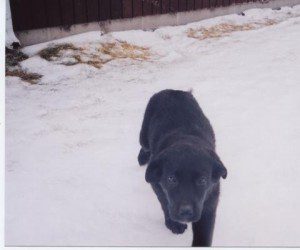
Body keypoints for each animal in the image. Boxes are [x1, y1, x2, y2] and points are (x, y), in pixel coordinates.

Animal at [137, 89, 226, 246]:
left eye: (202, 180)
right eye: (171, 179)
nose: (185, 212)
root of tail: (171, 90)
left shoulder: (209, 203)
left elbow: (204, 235)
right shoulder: (157, 185)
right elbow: (165, 203)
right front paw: (174, 224)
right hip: (144, 136)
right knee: (144, 145)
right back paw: (142, 157)